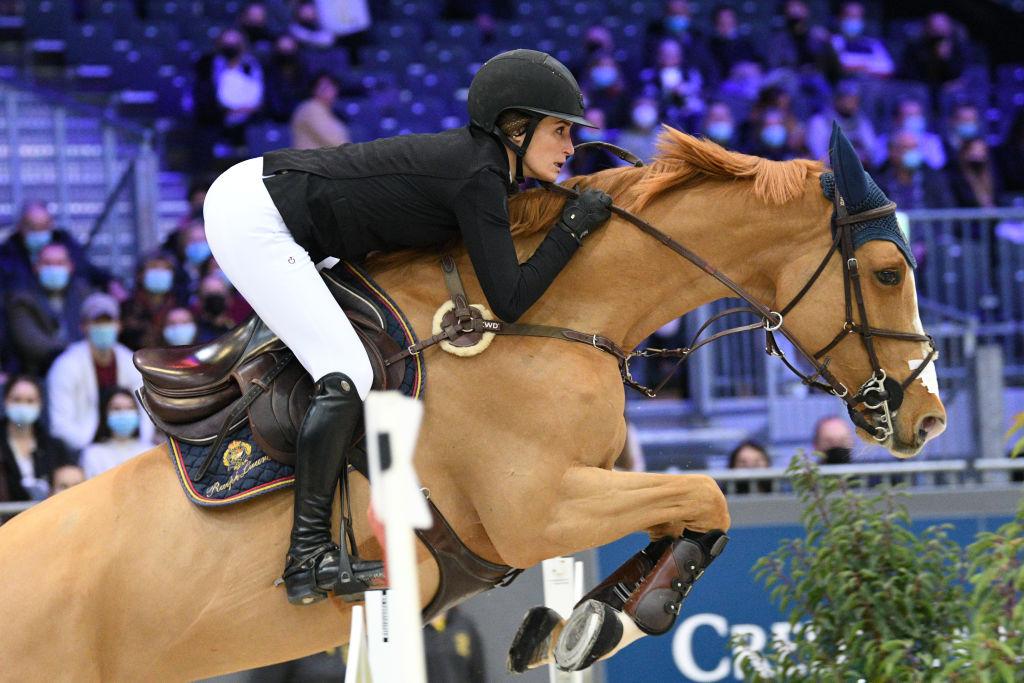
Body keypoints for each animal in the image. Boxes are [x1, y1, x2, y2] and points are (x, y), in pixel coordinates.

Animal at [0, 127, 942, 679]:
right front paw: (620, 617)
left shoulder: (585, 488)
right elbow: (706, 494)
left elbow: (684, 511)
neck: (545, 319)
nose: (927, 416)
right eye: (886, 273)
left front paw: (584, 621)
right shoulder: (537, 509)